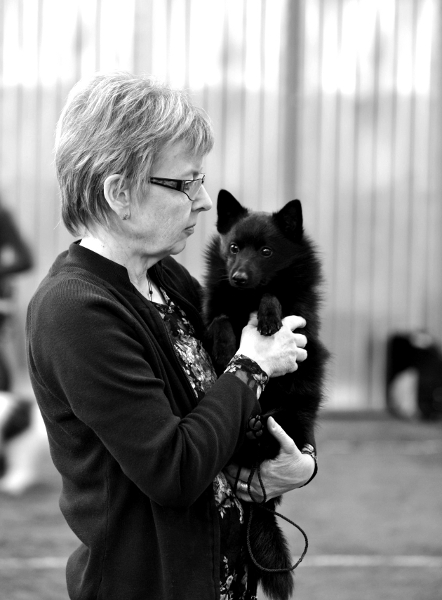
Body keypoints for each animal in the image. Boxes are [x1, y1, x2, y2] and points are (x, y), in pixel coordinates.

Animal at [204, 190, 328, 596]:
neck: (247, 298)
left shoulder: (299, 317)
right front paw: (226, 345)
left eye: (266, 251)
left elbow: (274, 294)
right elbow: (219, 319)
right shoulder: (215, 307)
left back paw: (259, 431)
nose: (239, 277)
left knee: (271, 440)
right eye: (234, 247)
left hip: (295, 406)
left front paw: (270, 315)